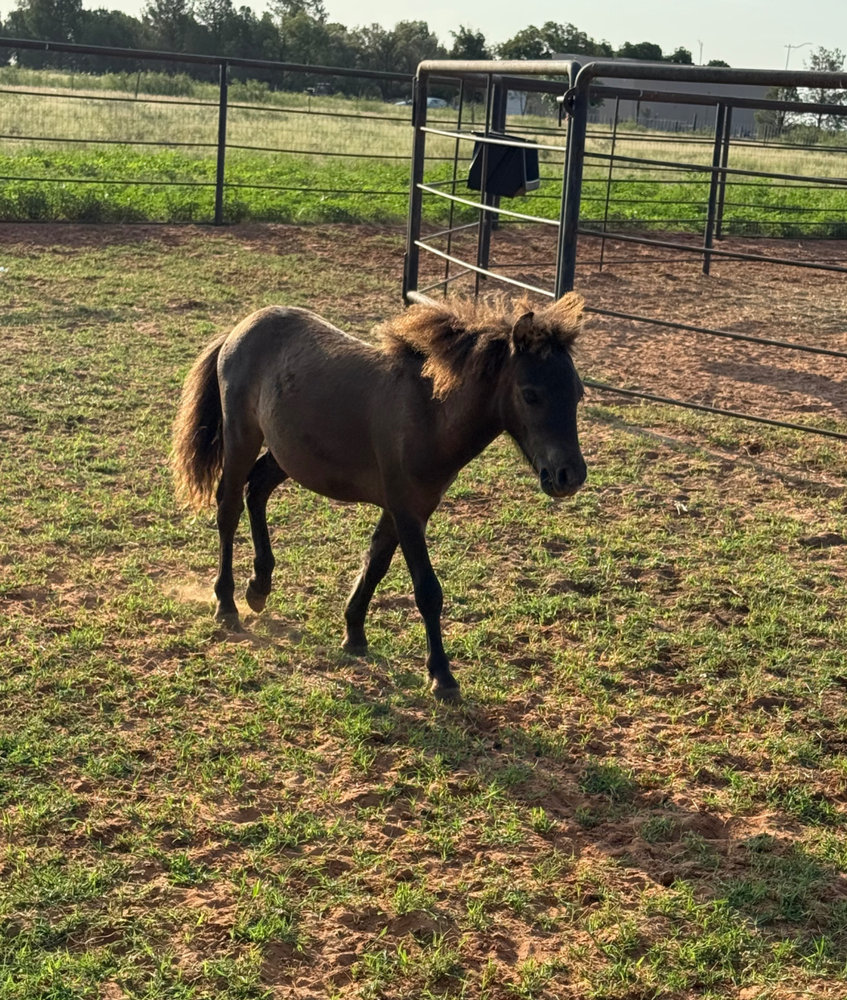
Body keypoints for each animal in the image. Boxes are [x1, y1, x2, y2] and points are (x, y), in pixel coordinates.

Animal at [171, 294, 587, 701]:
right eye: (530, 395)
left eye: (578, 394)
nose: (570, 476)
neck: (430, 413)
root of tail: (241, 328)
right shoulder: (407, 511)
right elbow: (427, 590)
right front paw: (442, 675)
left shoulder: (405, 507)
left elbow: (375, 562)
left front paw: (354, 633)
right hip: (241, 437)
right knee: (228, 507)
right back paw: (226, 604)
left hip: (287, 452)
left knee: (257, 489)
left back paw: (259, 587)